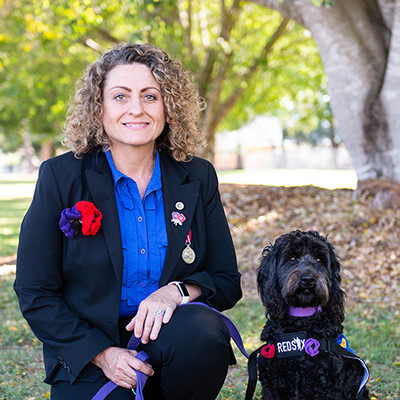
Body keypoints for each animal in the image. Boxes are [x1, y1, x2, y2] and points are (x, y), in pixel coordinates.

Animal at [256, 230, 368, 398]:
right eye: (292, 258)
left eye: (319, 259)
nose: (307, 280)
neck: (302, 318)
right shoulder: (271, 386)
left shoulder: (326, 387)